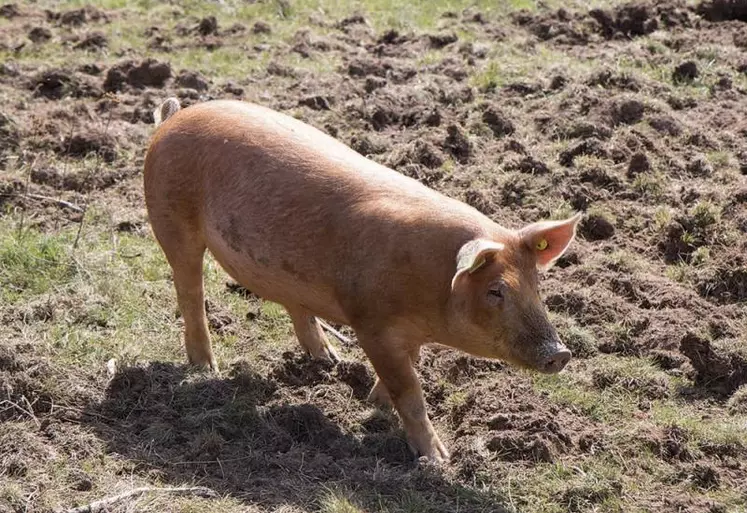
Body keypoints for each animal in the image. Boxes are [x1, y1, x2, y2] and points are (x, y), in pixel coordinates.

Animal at [143, 98, 580, 462]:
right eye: (495, 291)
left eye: (536, 286)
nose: (560, 353)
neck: (433, 289)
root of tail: (173, 118)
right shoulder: (371, 323)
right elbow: (410, 390)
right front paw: (438, 460)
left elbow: (407, 372)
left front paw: (374, 404)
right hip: (170, 221)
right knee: (190, 291)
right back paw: (207, 368)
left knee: (295, 306)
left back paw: (330, 360)